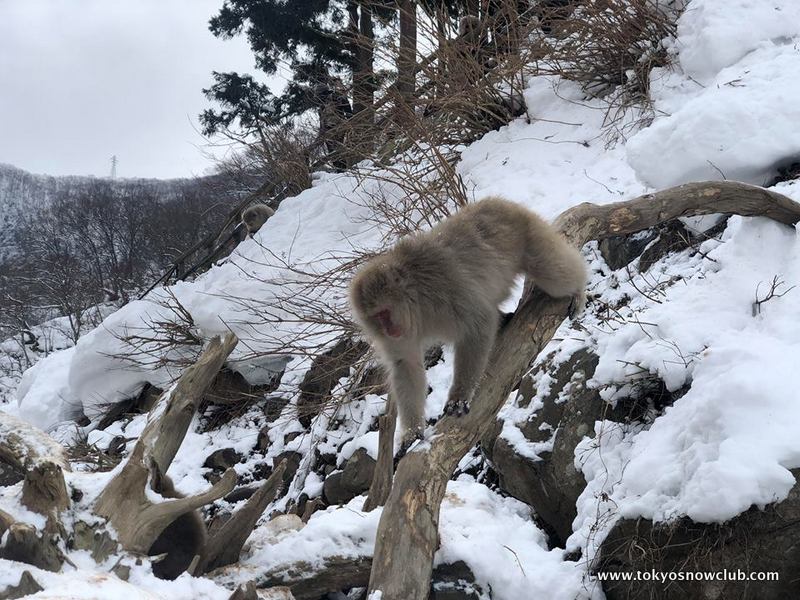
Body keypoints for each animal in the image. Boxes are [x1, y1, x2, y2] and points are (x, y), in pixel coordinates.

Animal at [349, 196, 587, 445]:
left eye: (384, 312)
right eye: (375, 318)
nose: (387, 329)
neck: (418, 301)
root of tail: (499, 202)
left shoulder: (447, 288)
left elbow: (478, 325)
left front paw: (459, 397)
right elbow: (405, 364)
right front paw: (412, 432)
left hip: (530, 236)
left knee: (555, 276)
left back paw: (579, 289)